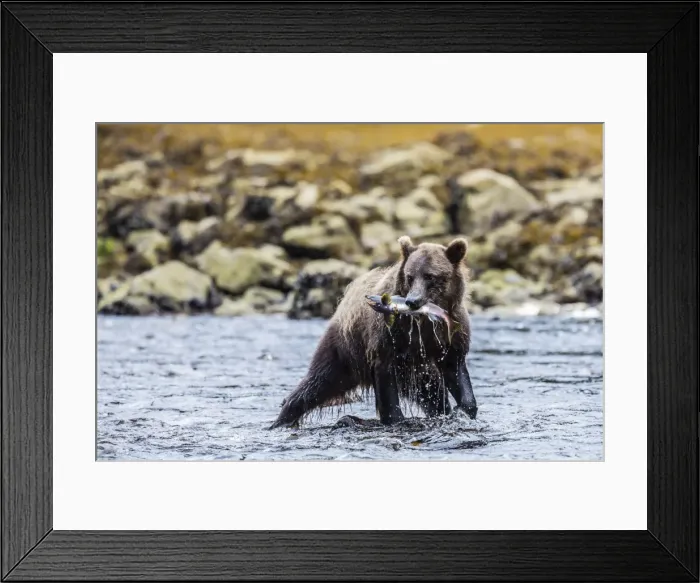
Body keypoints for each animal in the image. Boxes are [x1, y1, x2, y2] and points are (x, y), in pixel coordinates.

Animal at [270, 236, 477, 428]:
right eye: (410, 276)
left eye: (430, 276)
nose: (412, 301)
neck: (423, 320)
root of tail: (343, 302)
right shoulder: (389, 337)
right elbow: (386, 378)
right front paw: (395, 418)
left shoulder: (450, 335)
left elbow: (455, 370)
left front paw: (463, 410)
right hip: (345, 349)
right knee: (317, 382)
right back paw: (282, 419)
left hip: (414, 370)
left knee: (433, 392)